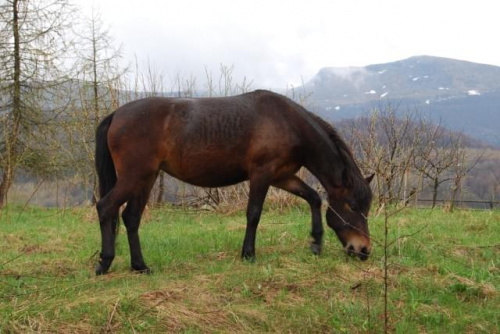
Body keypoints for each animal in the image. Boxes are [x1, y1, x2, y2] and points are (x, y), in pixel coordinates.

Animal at [95, 88, 374, 274]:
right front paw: (248, 254)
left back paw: (140, 266)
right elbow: (254, 213)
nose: (363, 250)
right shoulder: (262, 173)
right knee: (105, 207)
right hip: (134, 176)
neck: (287, 123)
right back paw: (105, 262)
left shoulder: (282, 176)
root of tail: (116, 114)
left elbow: (314, 198)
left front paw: (316, 243)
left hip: (146, 178)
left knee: (131, 217)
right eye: (352, 206)